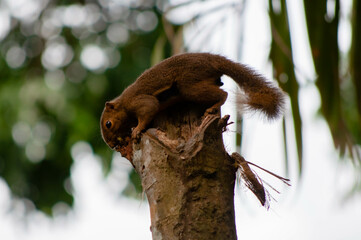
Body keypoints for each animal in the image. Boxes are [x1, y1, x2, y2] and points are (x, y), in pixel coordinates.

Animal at [100, 52, 284, 151]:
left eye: (108, 124)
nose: (112, 145)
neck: (123, 104)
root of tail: (212, 60)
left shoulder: (138, 102)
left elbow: (149, 108)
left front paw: (137, 130)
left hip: (189, 85)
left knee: (223, 93)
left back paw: (213, 107)